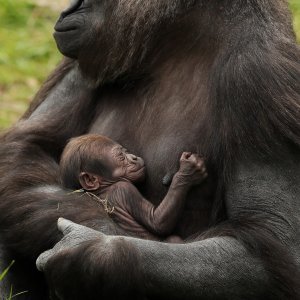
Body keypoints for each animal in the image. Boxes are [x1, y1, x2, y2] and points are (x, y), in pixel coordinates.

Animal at [59, 134, 207, 241]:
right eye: (121, 156)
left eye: (126, 152)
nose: (134, 157)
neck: (104, 187)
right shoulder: (124, 189)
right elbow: (157, 222)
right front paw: (187, 172)